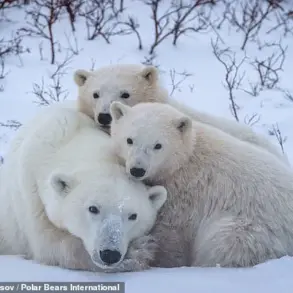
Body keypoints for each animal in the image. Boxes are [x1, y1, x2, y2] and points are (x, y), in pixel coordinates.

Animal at [0, 104, 167, 272]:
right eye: (93, 208)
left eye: (133, 216)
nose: (109, 254)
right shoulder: (32, 195)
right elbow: (49, 245)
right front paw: (140, 250)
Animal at [109, 101, 293, 268]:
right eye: (129, 140)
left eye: (158, 145)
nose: (137, 170)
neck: (185, 159)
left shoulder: (186, 193)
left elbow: (171, 232)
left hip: (252, 229)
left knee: (223, 244)